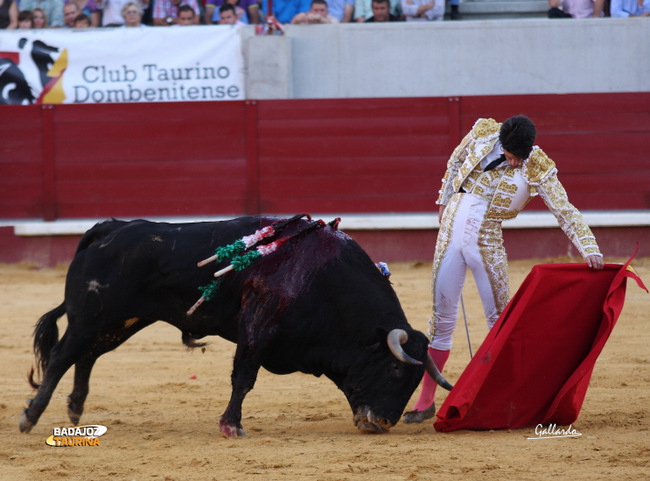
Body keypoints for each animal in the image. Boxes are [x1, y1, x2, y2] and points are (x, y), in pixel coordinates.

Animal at [20, 216, 450, 436]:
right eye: (394, 370)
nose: (383, 423)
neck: (323, 277)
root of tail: (109, 228)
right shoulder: (258, 326)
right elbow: (243, 377)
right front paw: (231, 426)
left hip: (120, 321)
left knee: (87, 356)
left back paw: (75, 410)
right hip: (91, 316)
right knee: (61, 355)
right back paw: (31, 417)